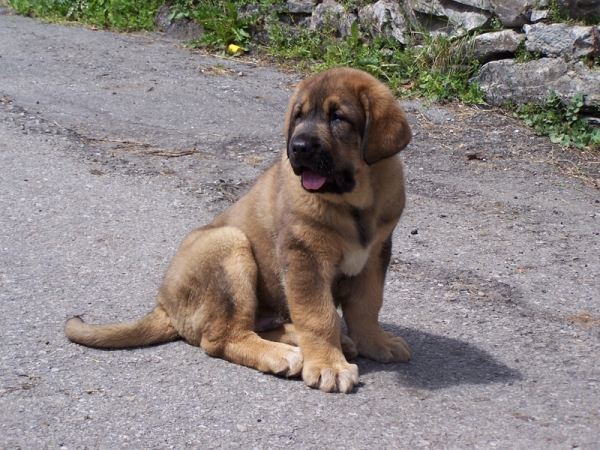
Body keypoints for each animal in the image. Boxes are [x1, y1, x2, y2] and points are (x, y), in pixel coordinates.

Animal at [65, 67, 412, 394]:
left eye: (338, 117)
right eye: (298, 116)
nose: (297, 148)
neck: (356, 203)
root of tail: (165, 305)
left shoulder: (376, 255)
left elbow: (367, 305)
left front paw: (374, 343)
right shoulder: (305, 259)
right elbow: (318, 316)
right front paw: (330, 366)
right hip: (229, 245)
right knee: (222, 338)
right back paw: (282, 354)